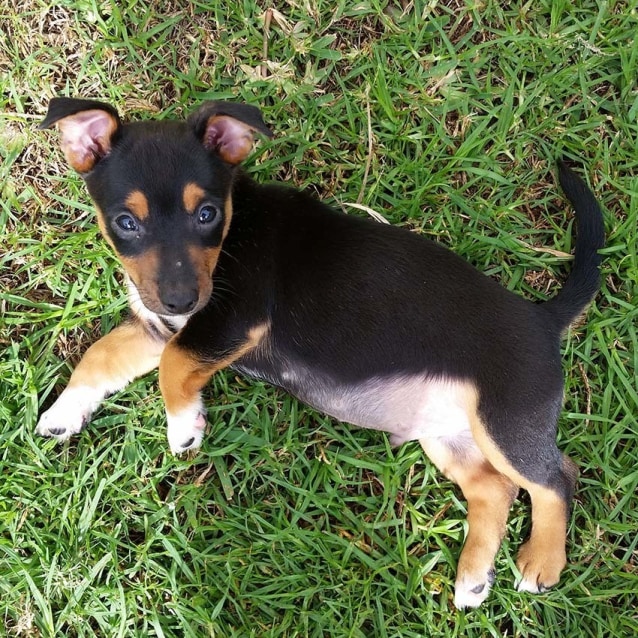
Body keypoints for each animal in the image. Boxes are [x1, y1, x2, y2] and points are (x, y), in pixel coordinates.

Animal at [35, 97, 604, 608]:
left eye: (207, 214)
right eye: (126, 222)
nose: (181, 299)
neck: (235, 226)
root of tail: (542, 319)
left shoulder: (229, 320)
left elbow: (175, 365)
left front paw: (183, 426)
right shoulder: (158, 328)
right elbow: (100, 355)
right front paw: (63, 412)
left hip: (505, 421)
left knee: (556, 477)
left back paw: (540, 563)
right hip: (449, 435)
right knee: (495, 489)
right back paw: (473, 578)